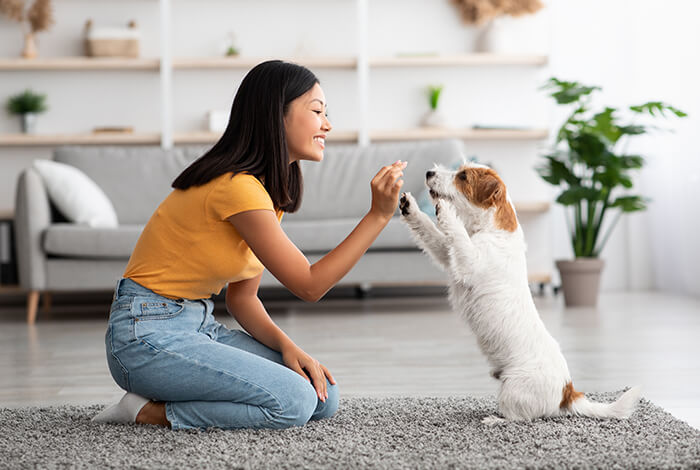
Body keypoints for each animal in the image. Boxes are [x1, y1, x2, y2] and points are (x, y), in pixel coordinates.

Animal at [400, 162, 640, 426]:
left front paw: (446, 210)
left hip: (512, 388)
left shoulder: (470, 262)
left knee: (519, 418)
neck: (491, 229)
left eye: (463, 176)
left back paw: (494, 420)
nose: (429, 173)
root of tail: (567, 393)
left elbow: (458, 235)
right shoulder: (448, 255)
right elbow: (433, 235)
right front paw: (410, 207)